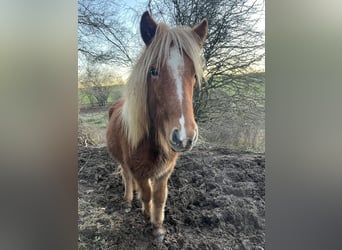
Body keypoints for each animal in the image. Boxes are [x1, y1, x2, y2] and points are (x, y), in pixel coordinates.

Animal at [107, 11, 207, 240]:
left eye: (194, 75)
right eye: (153, 71)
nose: (184, 137)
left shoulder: (164, 172)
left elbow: (160, 196)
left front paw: (158, 225)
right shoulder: (138, 170)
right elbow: (146, 193)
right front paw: (147, 215)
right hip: (123, 162)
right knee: (127, 177)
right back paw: (128, 200)